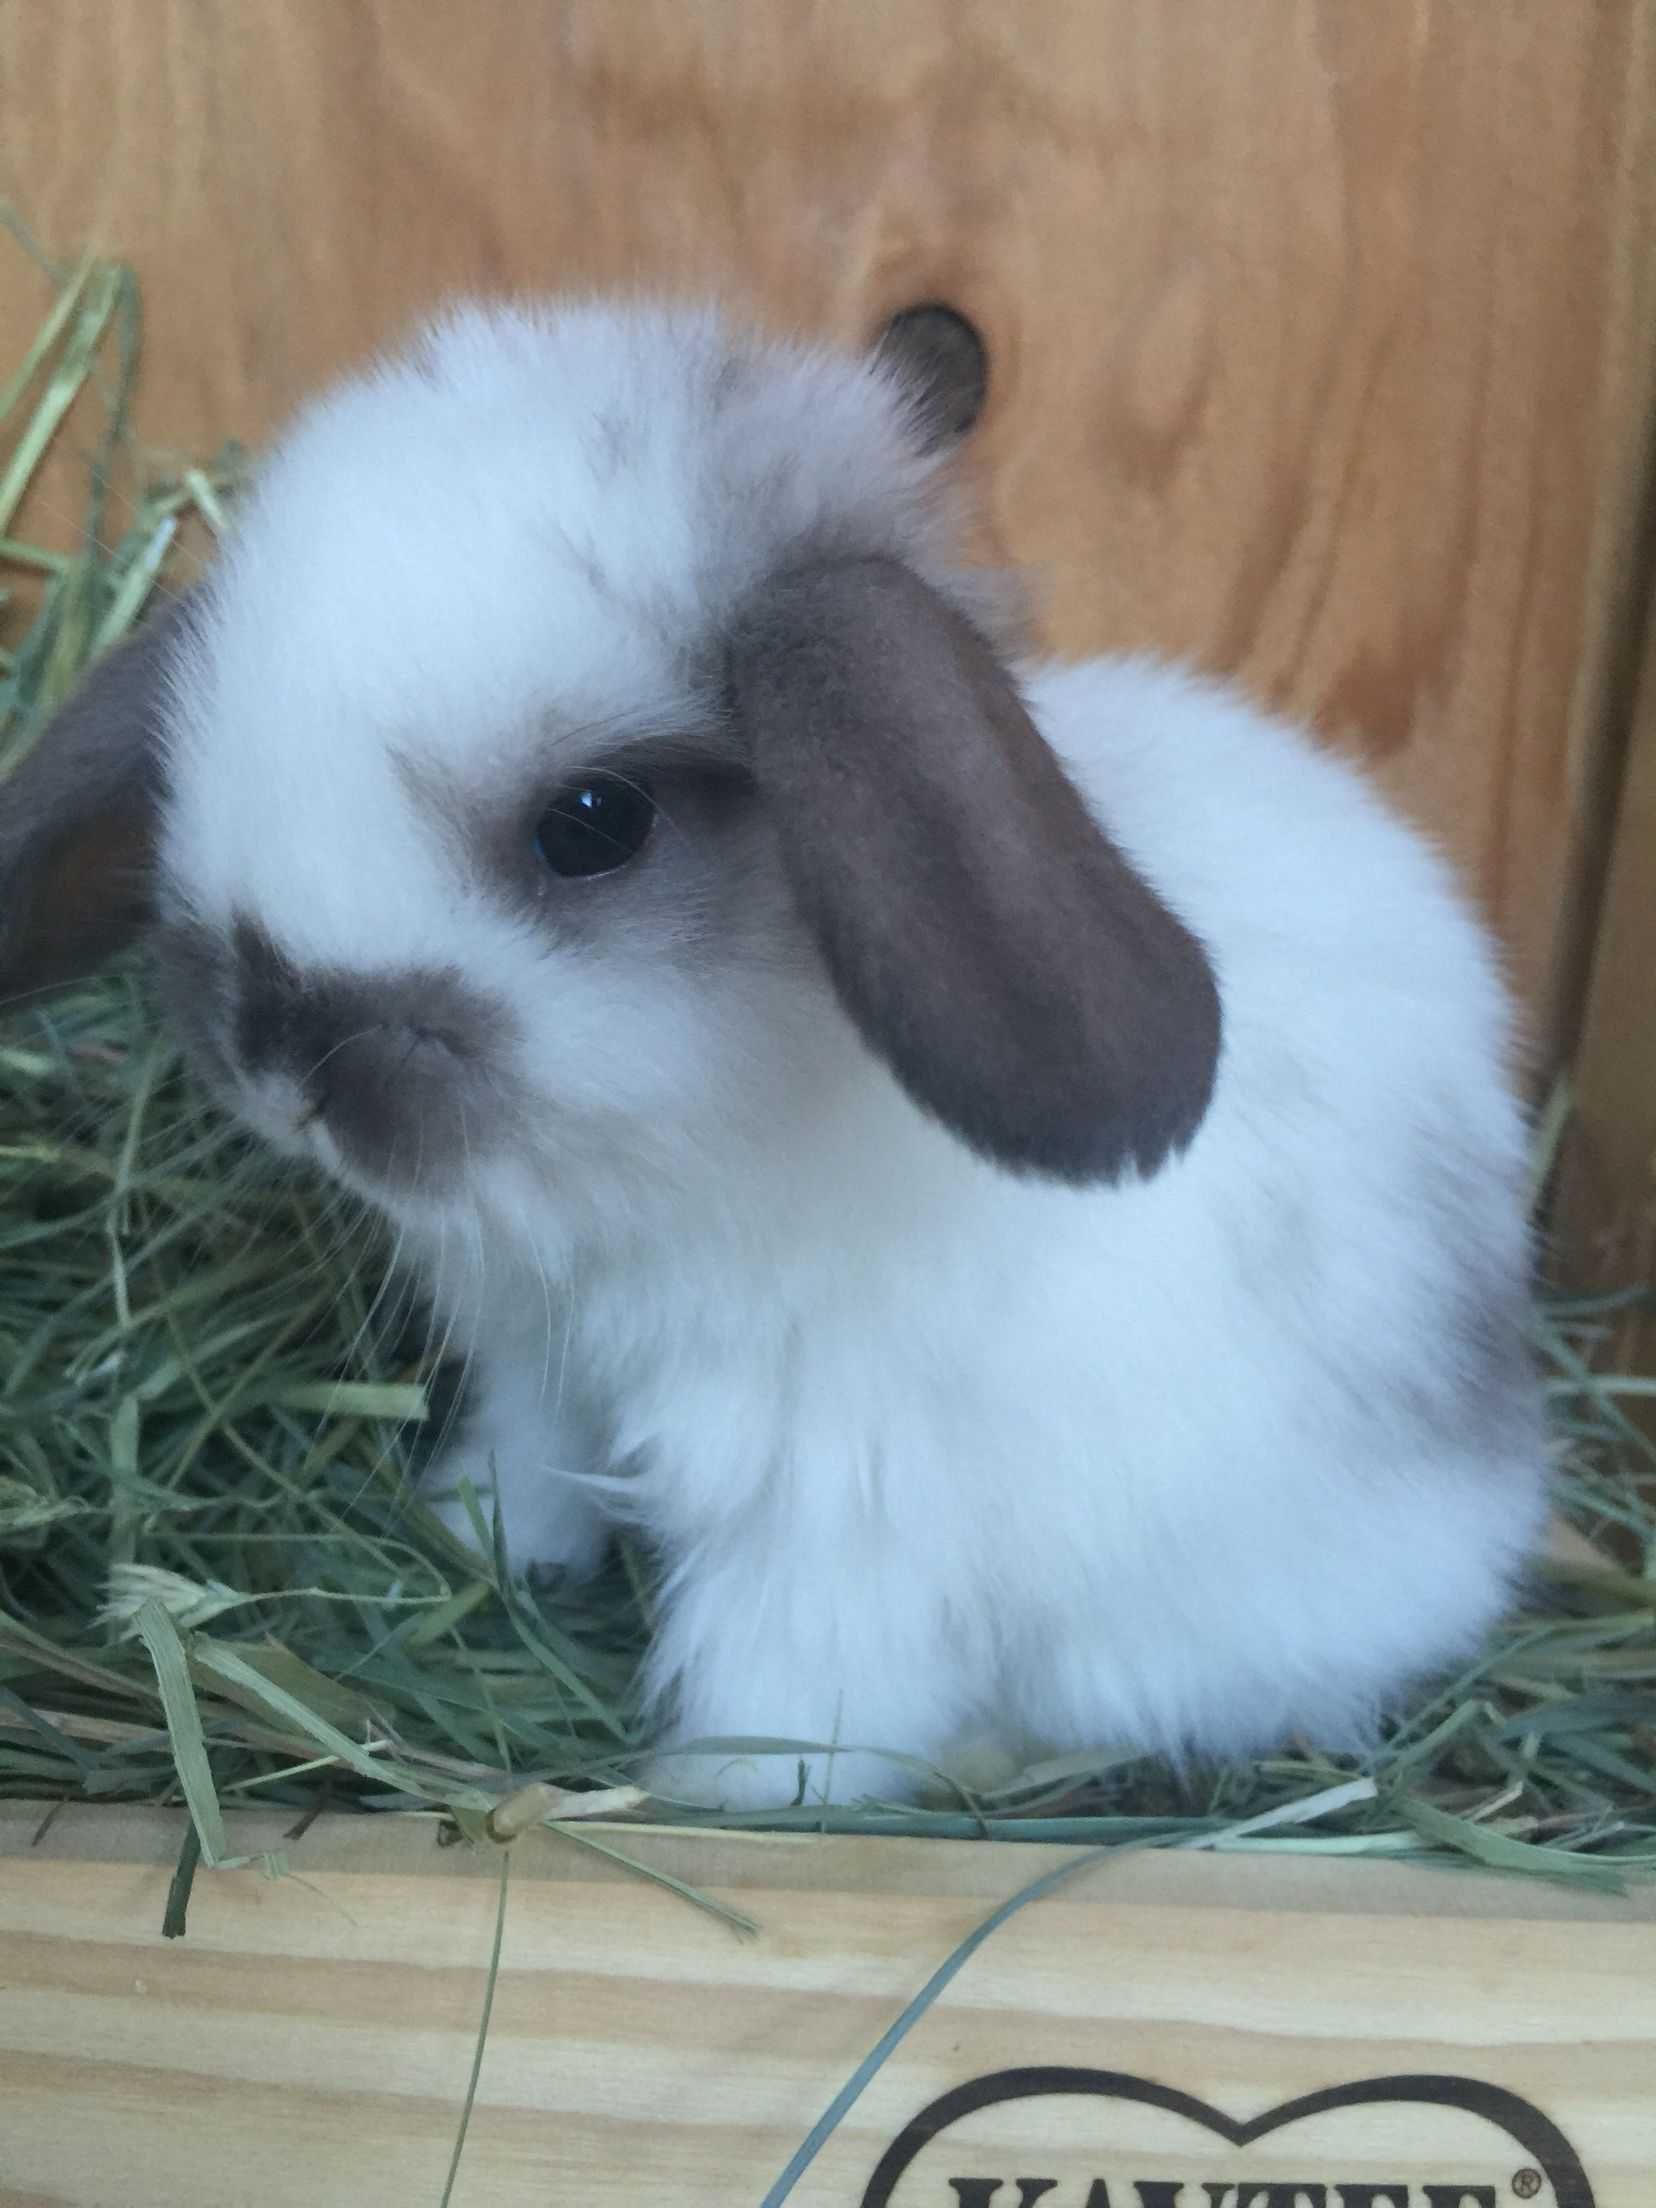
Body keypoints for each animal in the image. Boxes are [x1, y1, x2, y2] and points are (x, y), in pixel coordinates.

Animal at [3, 298, 1554, 1810]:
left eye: (592, 823)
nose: (280, 1051)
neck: (683, 1166)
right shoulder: (544, 1377)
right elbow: (528, 1477)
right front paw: (475, 1547)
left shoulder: (831, 1519)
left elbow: (790, 1696)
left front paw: (703, 1798)